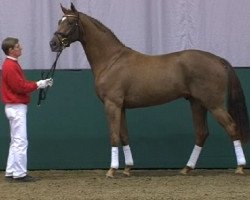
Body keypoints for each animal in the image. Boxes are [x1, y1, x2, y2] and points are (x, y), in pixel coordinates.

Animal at [49, 3, 249, 177]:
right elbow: (124, 135)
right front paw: (127, 169)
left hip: (214, 104)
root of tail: (218, 59)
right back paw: (187, 168)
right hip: (197, 103)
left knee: (231, 127)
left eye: (71, 22)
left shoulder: (112, 104)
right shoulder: (121, 107)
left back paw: (239, 167)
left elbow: (114, 135)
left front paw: (112, 170)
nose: (53, 44)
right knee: (202, 133)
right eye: (59, 21)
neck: (111, 60)